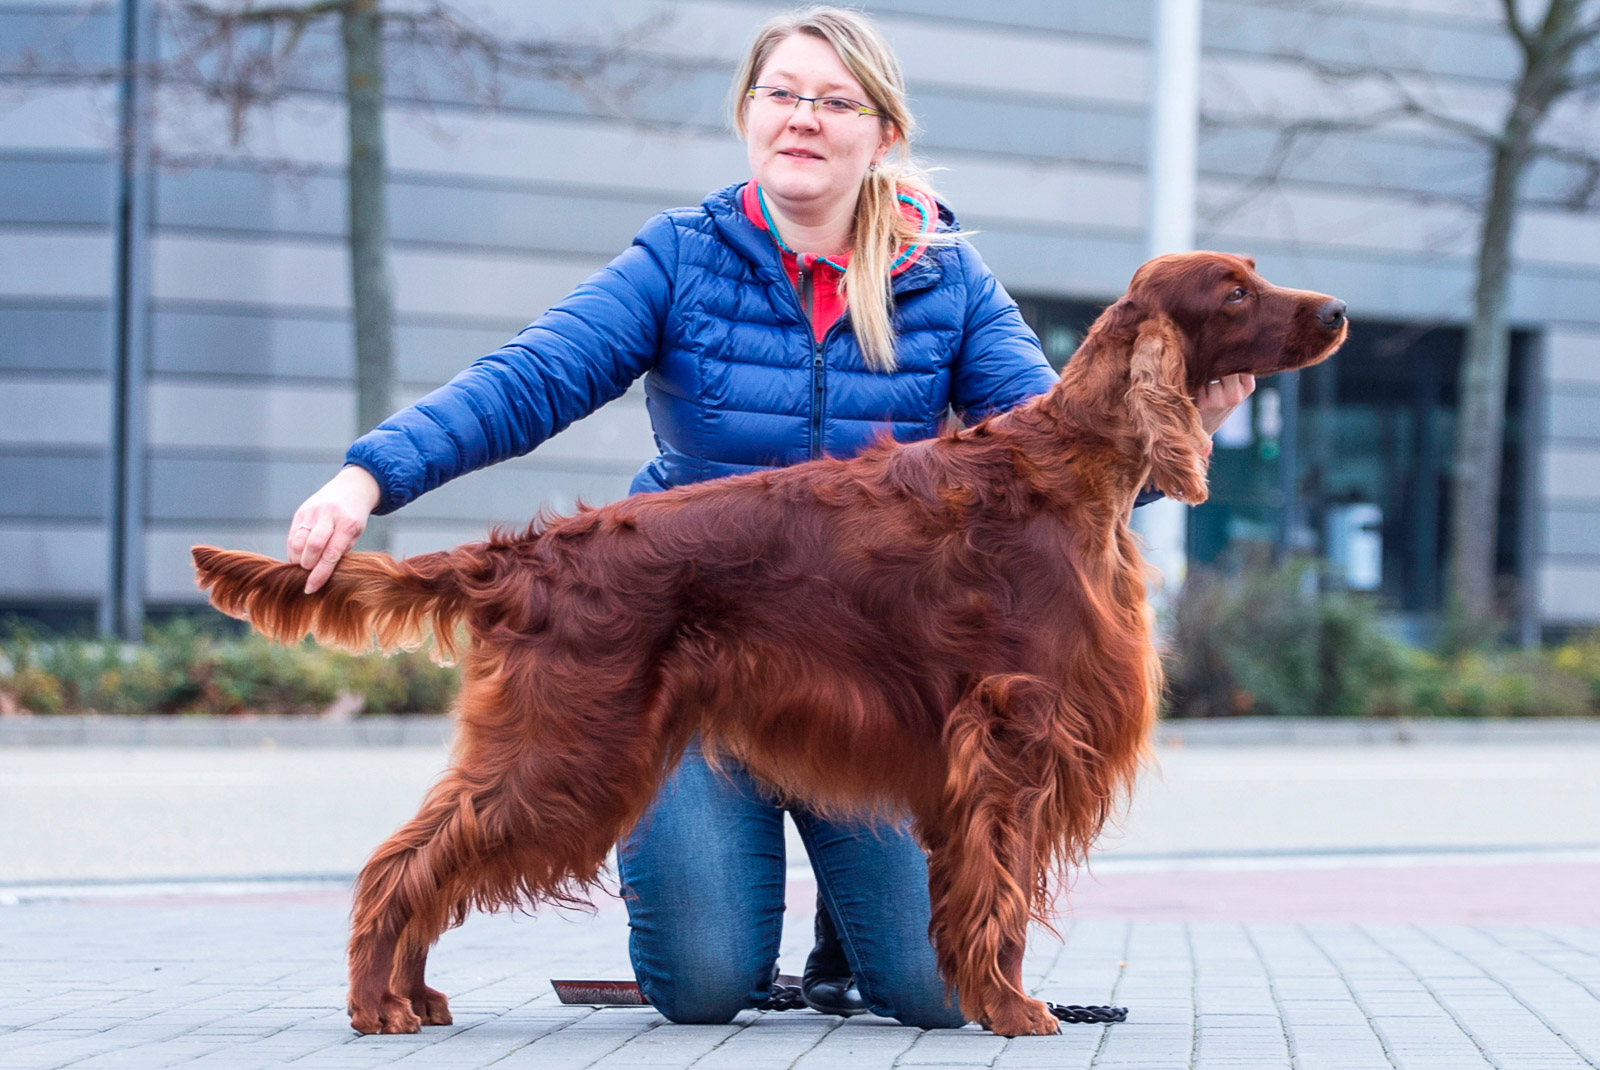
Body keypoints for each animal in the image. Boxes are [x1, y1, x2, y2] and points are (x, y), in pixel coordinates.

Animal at [196, 252, 1350, 1036]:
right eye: (1233, 292)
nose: (1336, 310)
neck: (1074, 469)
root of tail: (525, 555)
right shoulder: (1013, 730)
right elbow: (1003, 889)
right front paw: (1014, 1007)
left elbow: (990, 887)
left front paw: (997, 1000)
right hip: (568, 744)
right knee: (404, 858)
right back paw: (377, 1001)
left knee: (425, 853)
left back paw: (412, 993)